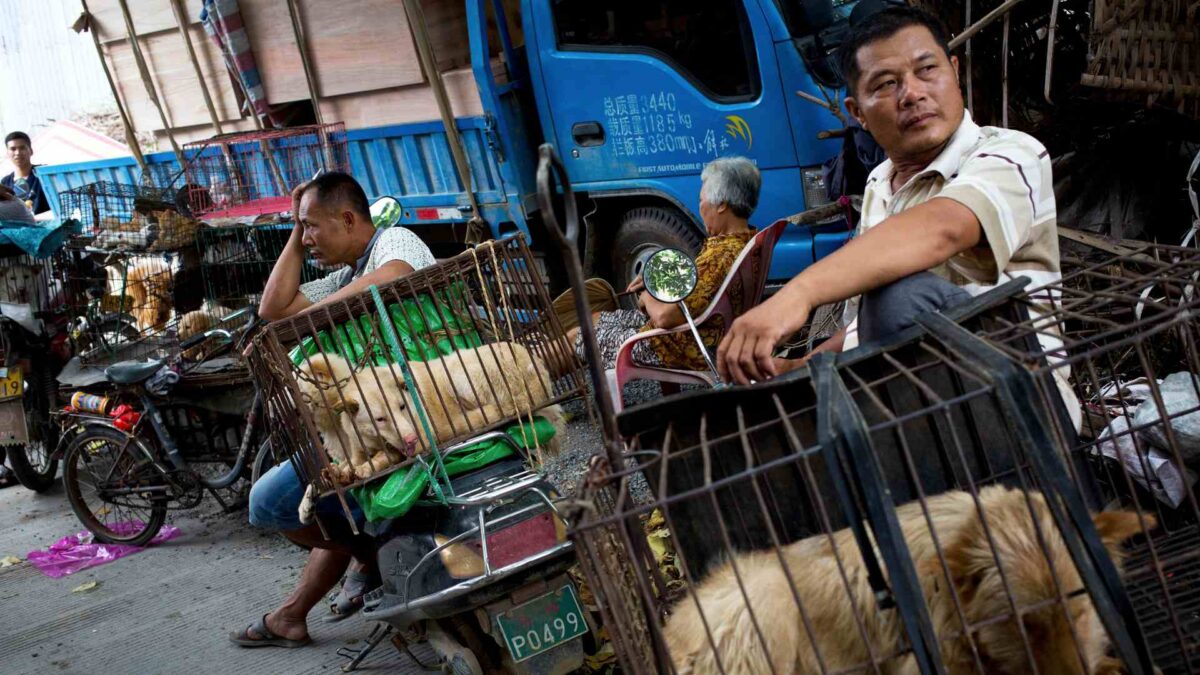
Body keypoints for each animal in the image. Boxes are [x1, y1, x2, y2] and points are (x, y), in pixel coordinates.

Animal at [297, 338, 564, 485]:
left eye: (402, 407)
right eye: (380, 419)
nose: (411, 439)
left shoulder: (420, 438)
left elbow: (387, 457)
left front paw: (366, 468)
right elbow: (351, 460)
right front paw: (341, 471)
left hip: (459, 374)